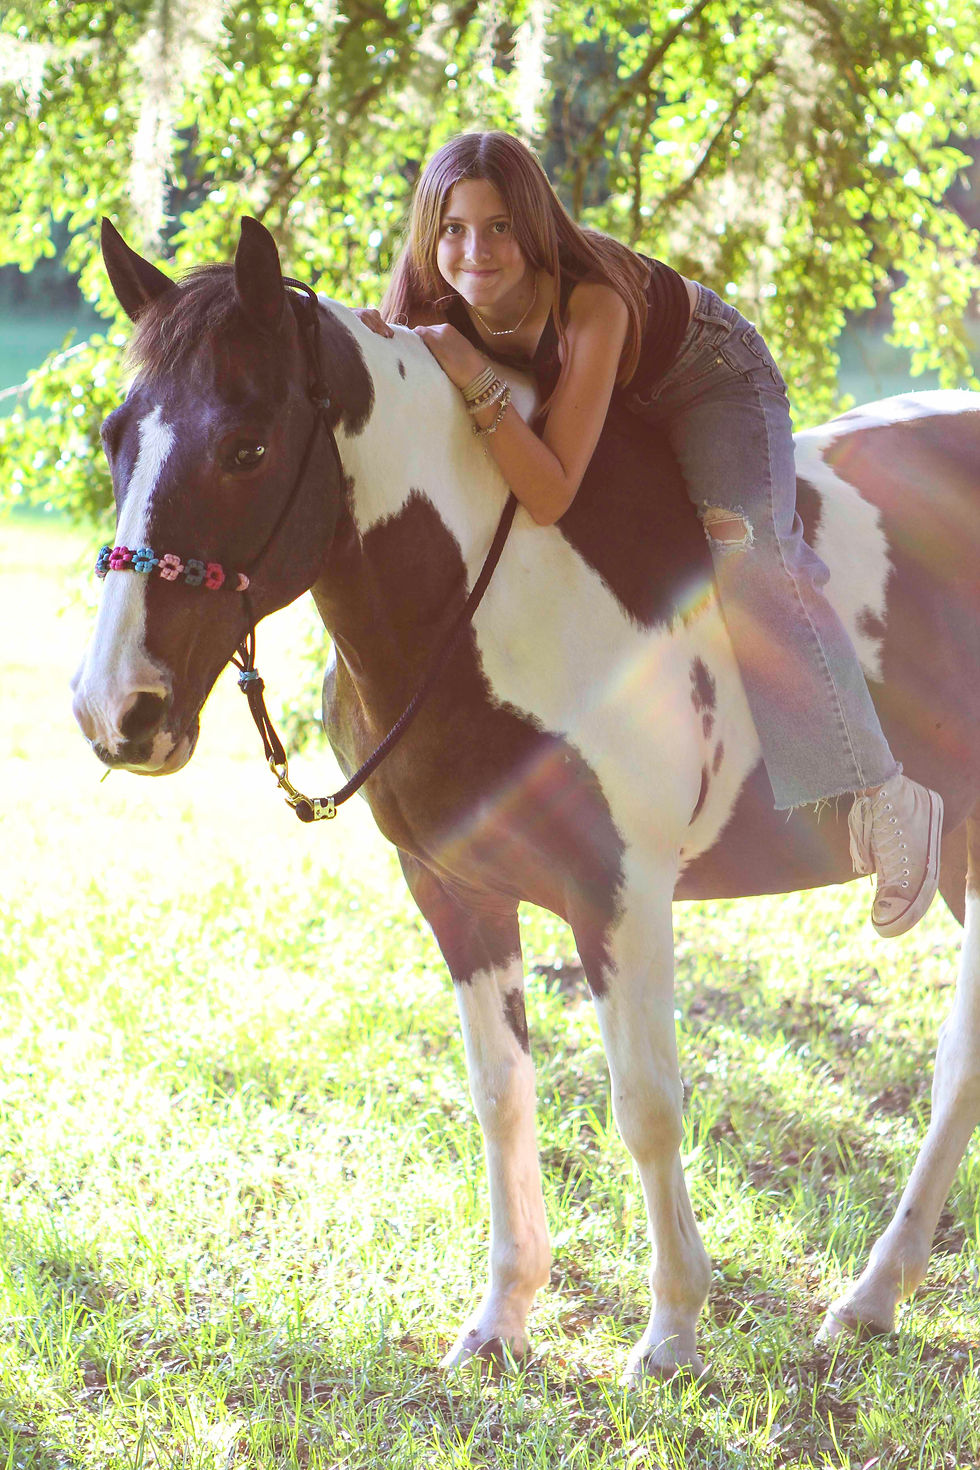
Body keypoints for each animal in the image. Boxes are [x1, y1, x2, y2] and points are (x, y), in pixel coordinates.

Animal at [72, 216, 980, 1383]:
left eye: (245, 448)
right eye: (115, 436)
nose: (119, 709)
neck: (492, 601)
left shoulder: (621, 898)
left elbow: (645, 1107)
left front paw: (670, 1335)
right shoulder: (455, 892)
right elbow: (502, 1096)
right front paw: (502, 1319)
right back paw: (871, 1301)